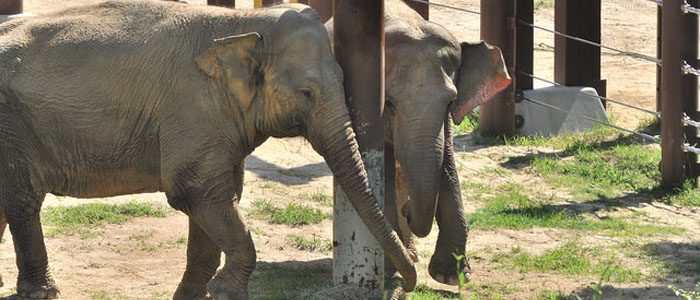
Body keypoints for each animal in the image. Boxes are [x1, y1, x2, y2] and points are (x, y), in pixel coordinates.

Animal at [0, 1, 416, 298]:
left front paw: (196, 294)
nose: (409, 278)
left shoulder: (216, 124)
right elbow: (193, 191)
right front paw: (226, 291)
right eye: (306, 93)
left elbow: (220, 196)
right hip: (12, 125)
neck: (238, 24)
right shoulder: (193, 108)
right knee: (23, 199)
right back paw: (41, 293)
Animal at [326, 0, 512, 288]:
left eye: (450, 102)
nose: (408, 210)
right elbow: (387, 167)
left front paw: (451, 276)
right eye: (389, 103)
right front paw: (392, 271)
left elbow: (446, 163)